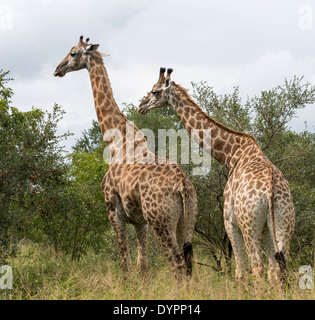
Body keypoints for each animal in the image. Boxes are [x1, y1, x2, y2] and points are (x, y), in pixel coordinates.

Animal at [54, 38, 198, 282]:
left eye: (72, 53)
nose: (57, 69)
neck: (115, 142)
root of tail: (182, 185)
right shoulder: (140, 221)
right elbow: (143, 266)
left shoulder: (113, 210)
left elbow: (125, 265)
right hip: (186, 222)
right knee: (187, 265)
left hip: (161, 221)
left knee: (176, 263)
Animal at [138, 67, 296, 292]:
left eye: (154, 91)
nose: (141, 107)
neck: (231, 155)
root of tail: (271, 192)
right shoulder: (266, 229)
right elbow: (273, 271)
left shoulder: (230, 222)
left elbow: (240, 273)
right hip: (284, 223)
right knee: (280, 268)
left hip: (249, 225)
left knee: (257, 268)